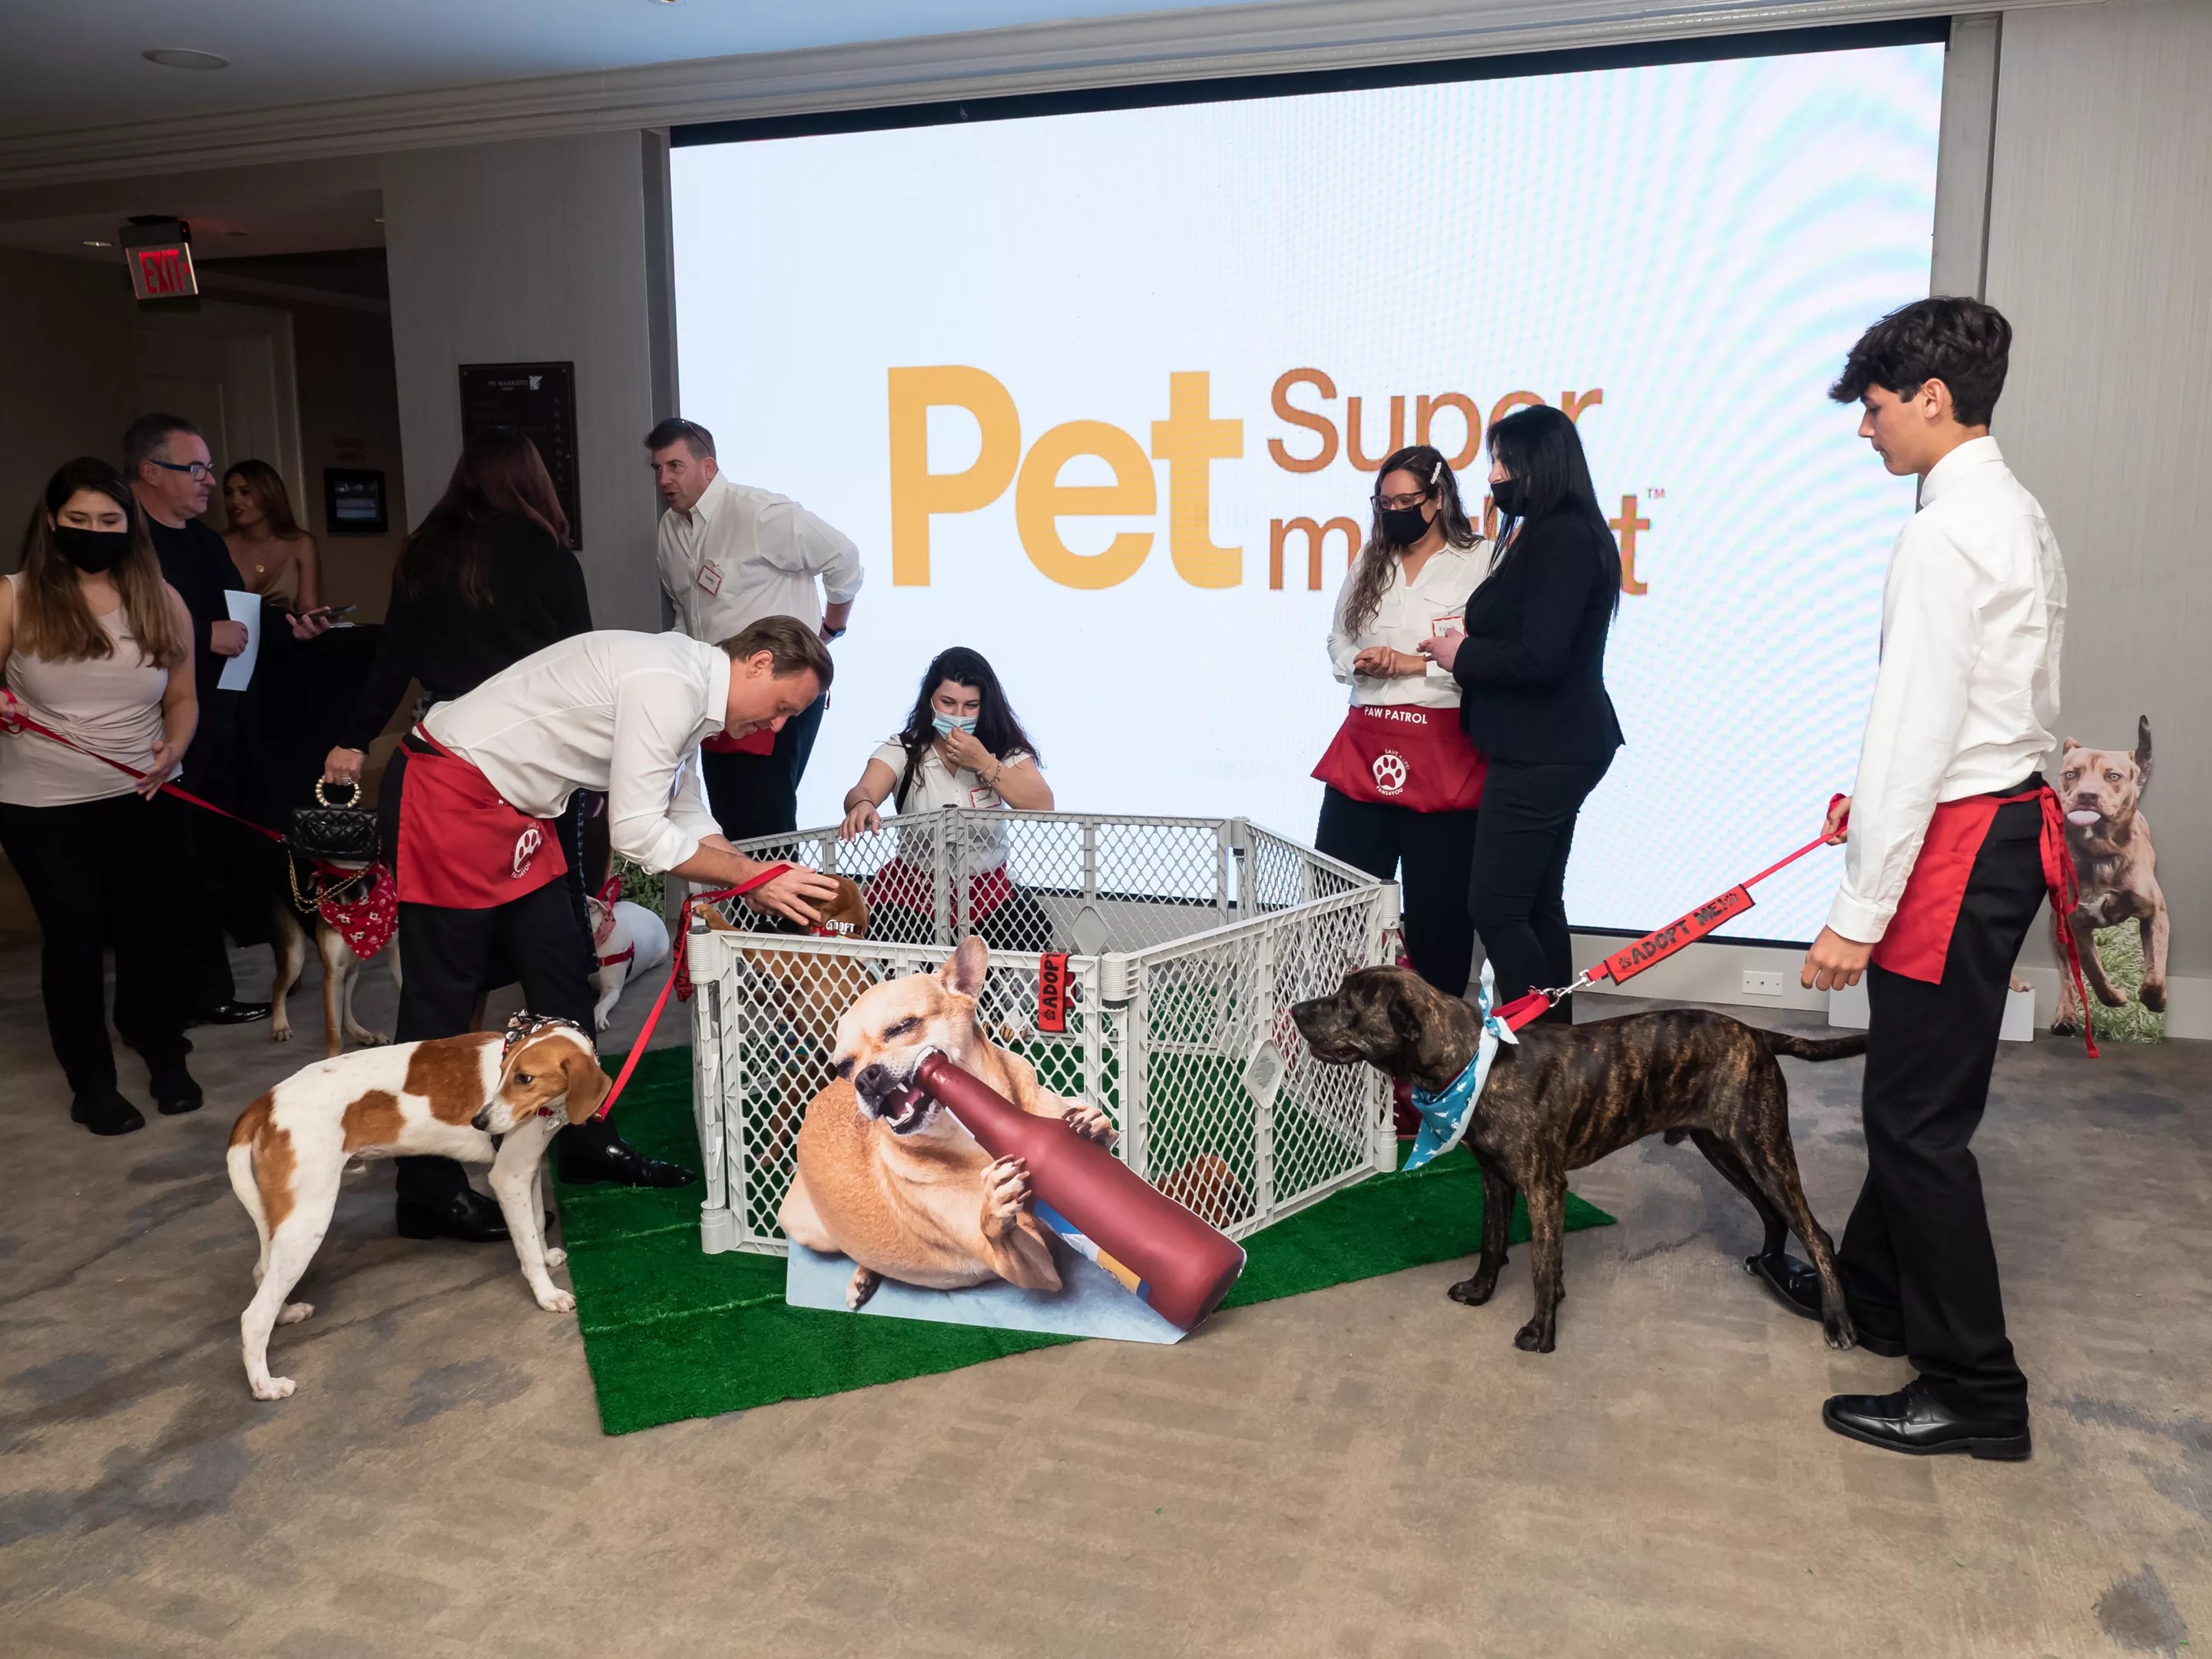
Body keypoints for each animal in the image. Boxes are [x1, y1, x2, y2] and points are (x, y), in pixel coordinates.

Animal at [224, 1015, 606, 1400]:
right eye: (504, 1073)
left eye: (524, 1078)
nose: (478, 1122)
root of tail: (265, 1102)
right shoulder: (508, 1178)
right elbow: (526, 1248)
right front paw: (547, 1295)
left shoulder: (528, 1169)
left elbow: (537, 1225)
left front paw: (547, 1256)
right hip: (308, 1219)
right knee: (254, 1316)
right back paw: (265, 1386)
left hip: (285, 1219)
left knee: (261, 1274)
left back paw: (286, 1314)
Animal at [779, 935, 1116, 1310]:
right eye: (842, 1067)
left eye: (903, 1026)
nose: (863, 1079)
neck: (971, 1141)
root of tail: (812, 1106)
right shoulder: (1034, 1268)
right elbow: (997, 1233)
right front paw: (994, 1206)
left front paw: (1094, 1127)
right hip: (813, 1231)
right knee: (853, 1249)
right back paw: (863, 1276)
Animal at [1290, 968, 1866, 1353]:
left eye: (1346, 1003)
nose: (1295, 1010)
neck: (1476, 1061)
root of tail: (1756, 1035)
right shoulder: (1495, 1180)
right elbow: (1492, 1243)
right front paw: (1481, 1291)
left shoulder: (1545, 1187)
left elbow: (1542, 1267)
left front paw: (1541, 1333)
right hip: (1726, 1149)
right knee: (1772, 1214)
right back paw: (1767, 1262)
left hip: (1764, 1150)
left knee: (1816, 1234)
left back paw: (1838, 1322)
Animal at [2052, 717, 2167, 1032]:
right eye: (2071, 774)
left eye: (2113, 776)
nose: (2087, 796)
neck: (2099, 853)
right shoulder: (2077, 925)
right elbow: (2093, 971)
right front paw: (2114, 997)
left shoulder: (2155, 914)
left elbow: (2155, 968)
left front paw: (2155, 1000)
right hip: (2057, 927)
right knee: (2067, 975)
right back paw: (2065, 1016)